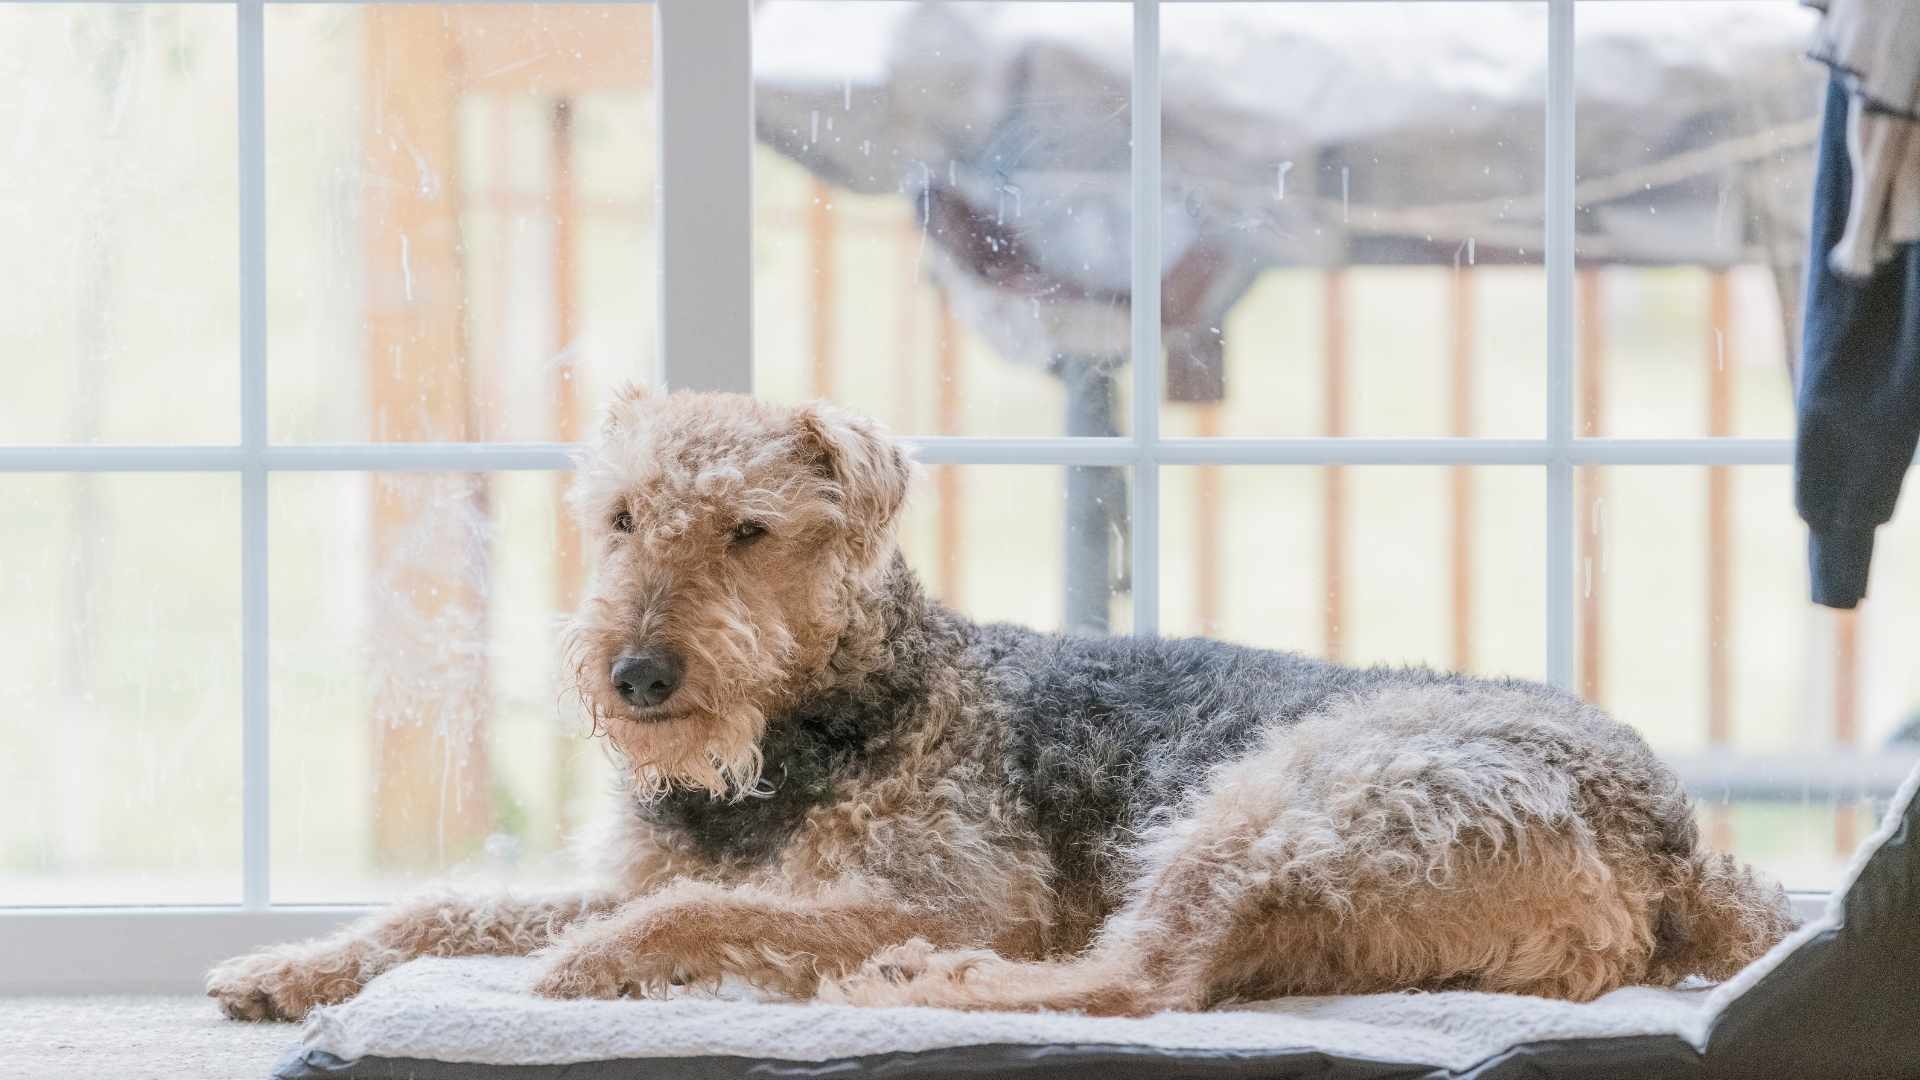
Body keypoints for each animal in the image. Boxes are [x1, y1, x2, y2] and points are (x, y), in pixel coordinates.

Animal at [214, 384, 1797, 1014]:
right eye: (618, 517)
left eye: (749, 531)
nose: (639, 676)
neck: (826, 725)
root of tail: (1678, 847)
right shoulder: (649, 863)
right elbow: (446, 910)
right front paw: (287, 968)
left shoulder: (941, 885)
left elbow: (680, 915)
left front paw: (579, 970)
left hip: (1266, 805)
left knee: (1138, 982)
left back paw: (927, 987)